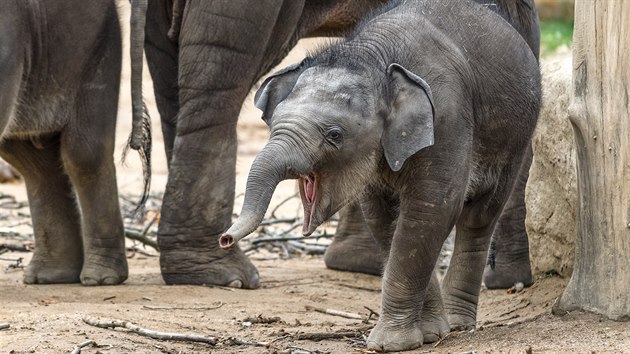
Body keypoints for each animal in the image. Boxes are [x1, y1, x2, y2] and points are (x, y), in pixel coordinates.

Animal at [220, 0, 540, 350]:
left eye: (334, 135)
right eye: (273, 122)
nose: (225, 238)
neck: (372, 56)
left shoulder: (448, 117)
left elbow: (432, 209)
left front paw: (391, 344)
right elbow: (382, 218)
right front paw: (429, 334)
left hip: (515, 136)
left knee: (479, 216)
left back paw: (459, 324)